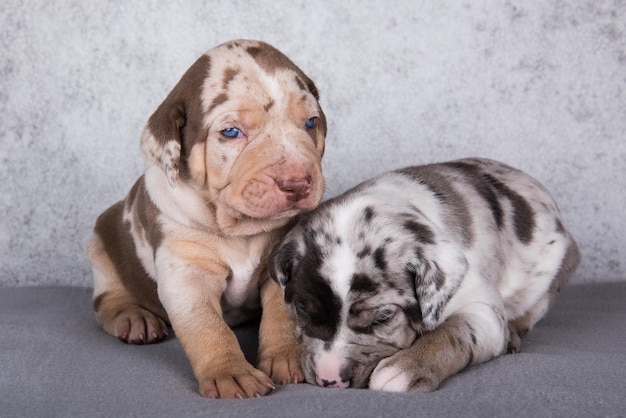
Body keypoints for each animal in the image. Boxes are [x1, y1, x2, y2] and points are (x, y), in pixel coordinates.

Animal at [84, 40, 324, 400]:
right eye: (231, 132)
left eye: (310, 123)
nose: (297, 183)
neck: (238, 229)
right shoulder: (186, 273)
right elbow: (208, 328)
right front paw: (232, 373)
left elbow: (281, 315)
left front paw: (286, 357)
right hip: (101, 245)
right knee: (109, 298)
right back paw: (134, 318)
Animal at [270, 158, 580, 394]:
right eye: (302, 310)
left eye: (382, 319)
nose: (329, 379)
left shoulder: (482, 310)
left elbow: (454, 332)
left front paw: (403, 369)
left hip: (557, 268)